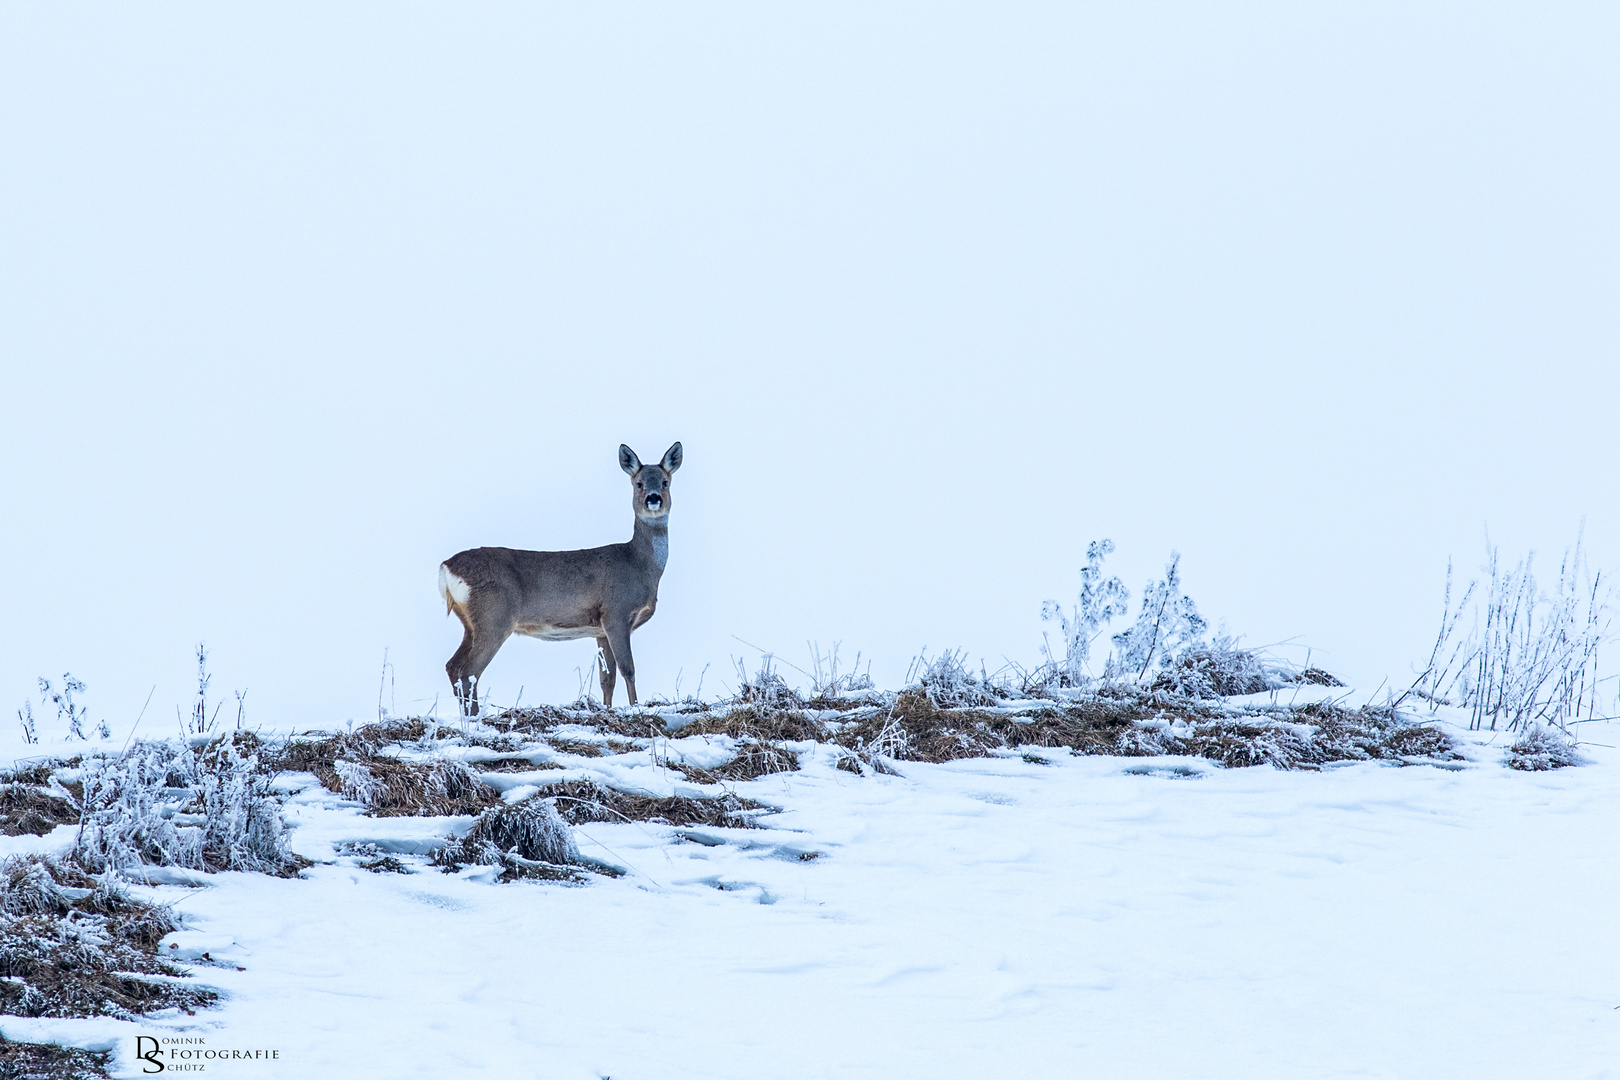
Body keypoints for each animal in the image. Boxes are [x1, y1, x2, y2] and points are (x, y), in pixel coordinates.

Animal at [437, 443, 683, 712]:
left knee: (452, 666)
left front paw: (607, 709)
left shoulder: (600, 630)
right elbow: (628, 670)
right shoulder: (616, 612)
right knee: (469, 671)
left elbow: (607, 678)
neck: (640, 565)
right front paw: (635, 707)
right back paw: (474, 717)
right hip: (494, 616)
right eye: (638, 483)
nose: (653, 498)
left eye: (665, 482)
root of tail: (446, 567)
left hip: (470, 622)